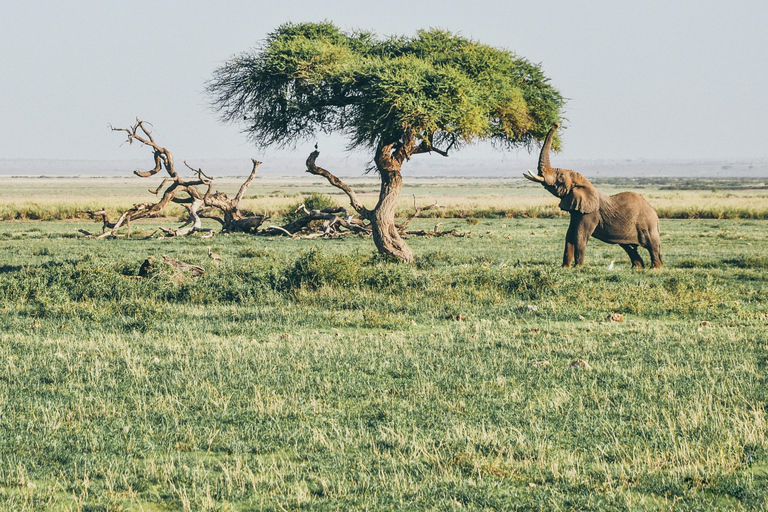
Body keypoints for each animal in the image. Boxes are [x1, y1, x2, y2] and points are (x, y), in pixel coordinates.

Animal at [524, 122, 664, 270]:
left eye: (560, 178)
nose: (556, 123)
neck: (585, 184)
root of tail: (655, 214)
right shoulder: (577, 210)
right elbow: (569, 234)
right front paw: (565, 267)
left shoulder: (590, 213)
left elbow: (579, 235)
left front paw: (578, 268)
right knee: (629, 247)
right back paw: (637, 267)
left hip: (647, 225)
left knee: (652, 245)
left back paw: (655, 268)